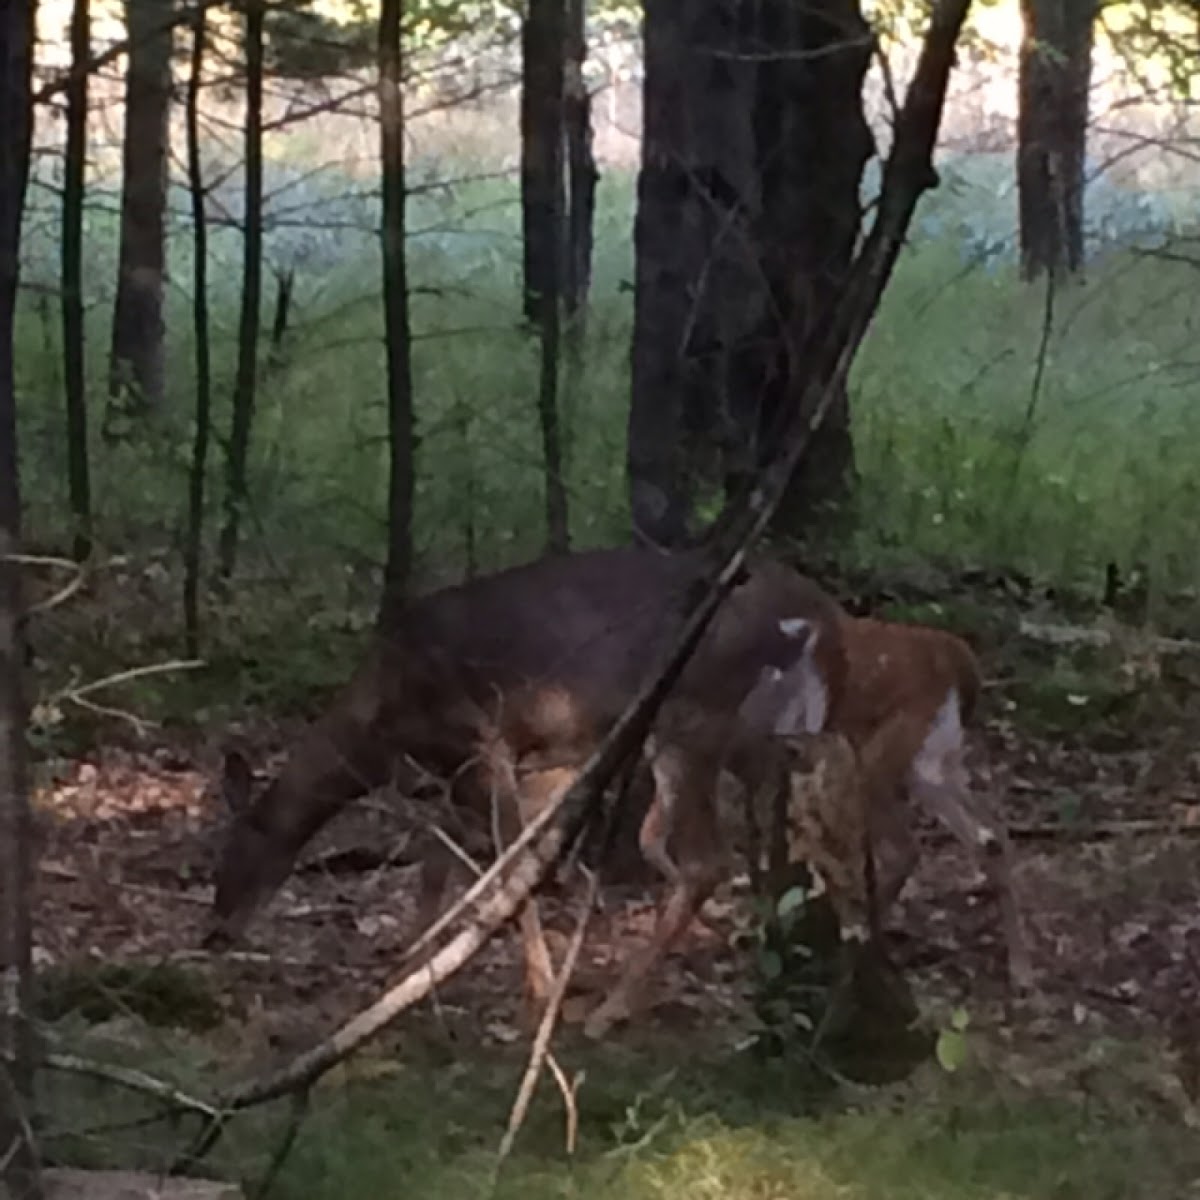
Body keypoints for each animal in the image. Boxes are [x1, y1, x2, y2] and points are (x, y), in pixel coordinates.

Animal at [204, 544, 844, 1022]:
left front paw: (538, 985)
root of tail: (825, 612)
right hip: (762, 743)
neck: (381, 720)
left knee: (706, 860)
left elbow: (507, 864)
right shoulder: (514, 765)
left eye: (235, 854)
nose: (216, 932)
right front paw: (406, 968)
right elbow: (443, 862)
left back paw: (613, 1009)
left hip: (694, 718)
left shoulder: (485, 743)